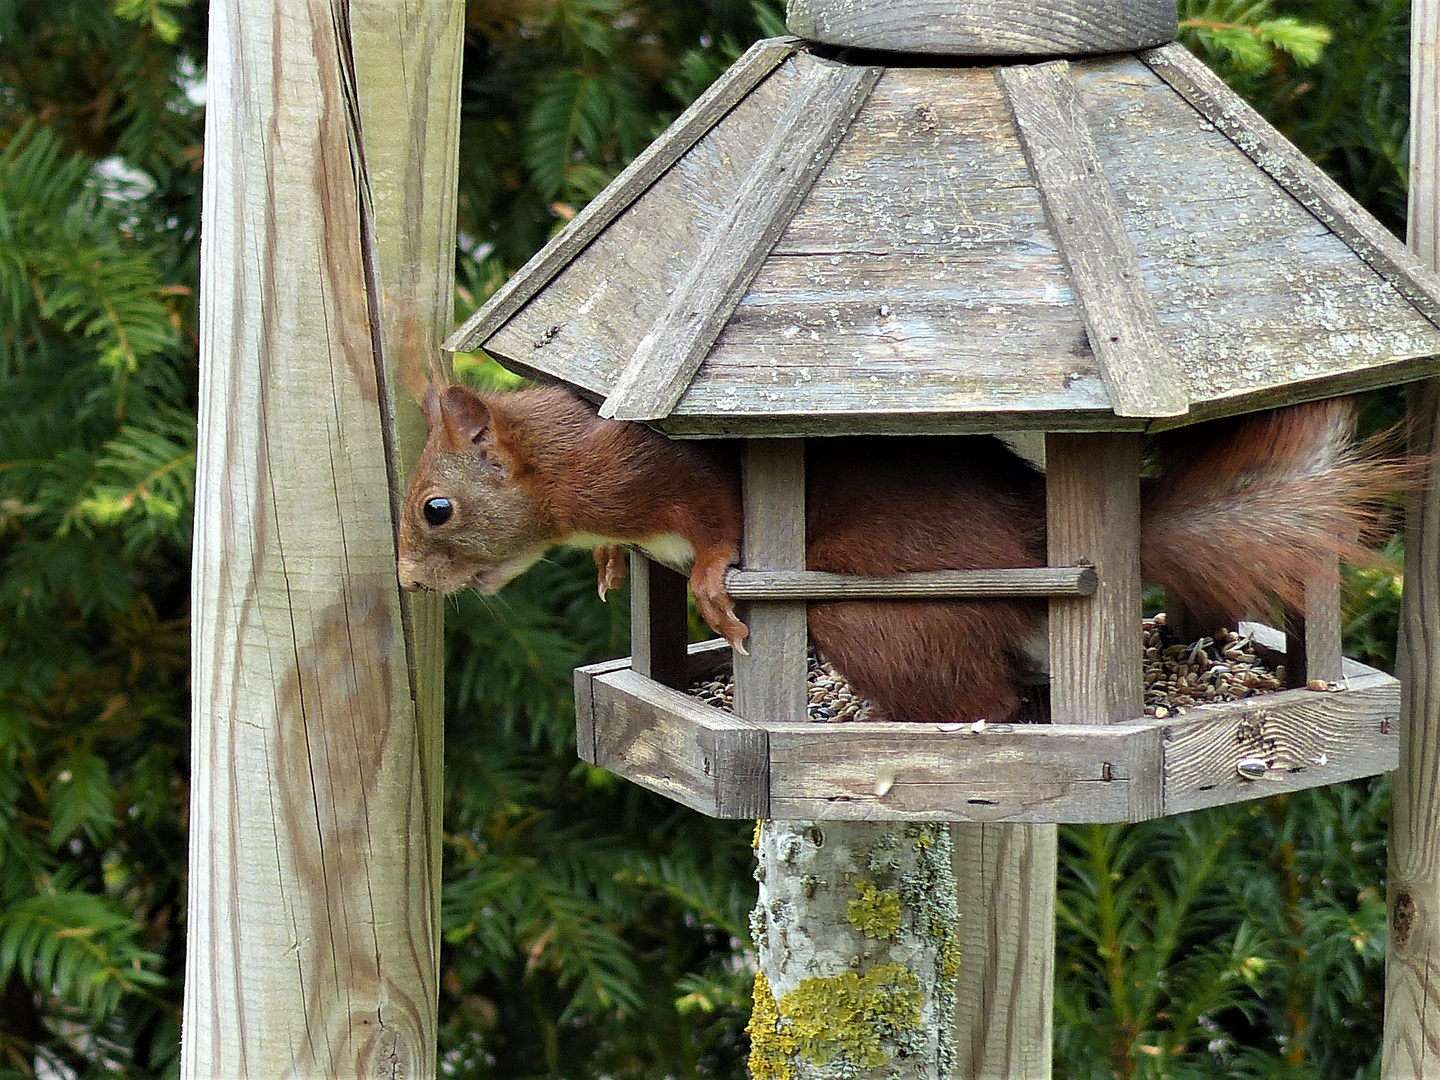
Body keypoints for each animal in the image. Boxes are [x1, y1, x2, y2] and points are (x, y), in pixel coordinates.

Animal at [400, 385, 1388, 722]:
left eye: (435, 510)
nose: (409, 581)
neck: (561, 467)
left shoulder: (659, 472)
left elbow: (719, 525)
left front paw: (713, 586)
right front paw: (611, 566)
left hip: (867, 612)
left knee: (979, 699)